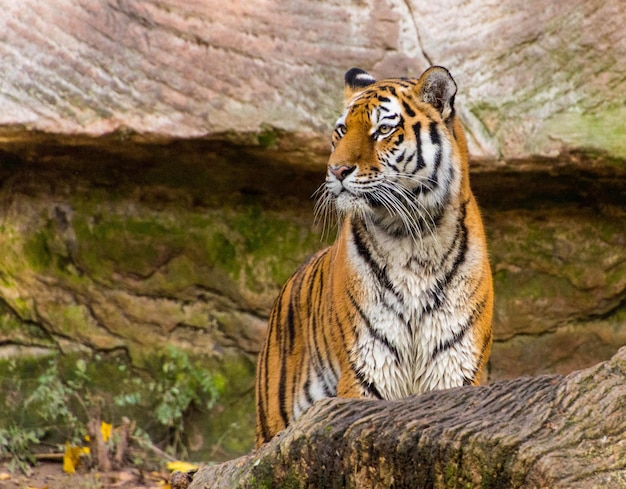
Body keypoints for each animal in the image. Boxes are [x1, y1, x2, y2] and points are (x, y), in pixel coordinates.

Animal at [254, 65, 492, 446]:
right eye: (341, 130)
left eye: (382, 130)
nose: (336, 171)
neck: (415, 241)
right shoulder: (369, 366)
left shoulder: (455, 364)